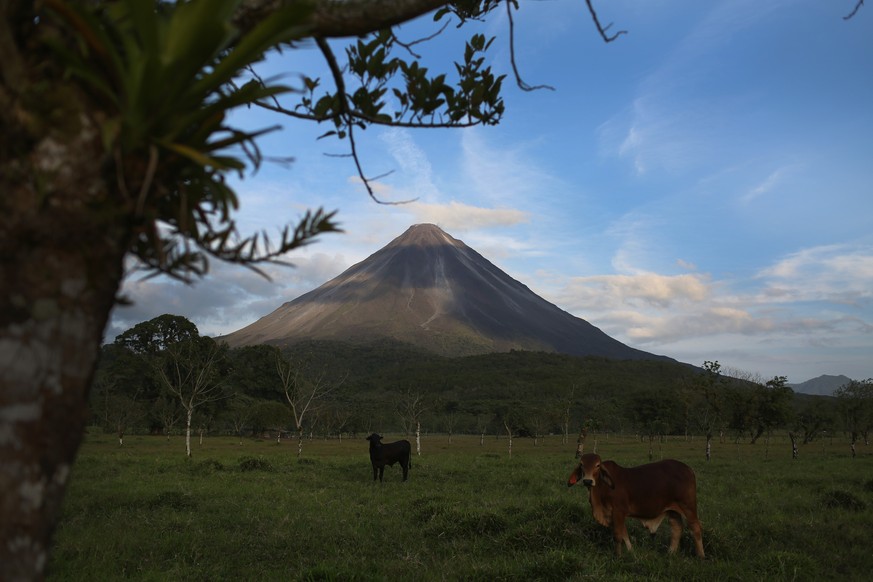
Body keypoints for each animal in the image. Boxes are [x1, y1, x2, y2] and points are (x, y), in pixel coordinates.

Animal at [568, 454, 704, 560]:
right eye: (581, 464)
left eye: (597, 465)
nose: (587, 481)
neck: (602, 488)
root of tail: (688, 469)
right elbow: (624, 534)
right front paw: (630, 551)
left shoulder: (618, 511)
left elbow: (618, 535)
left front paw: (618, 556)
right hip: (672, 509)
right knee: (676, 528)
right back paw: (670, 553)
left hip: (688, 506)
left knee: (695, 528)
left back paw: (701, 556)